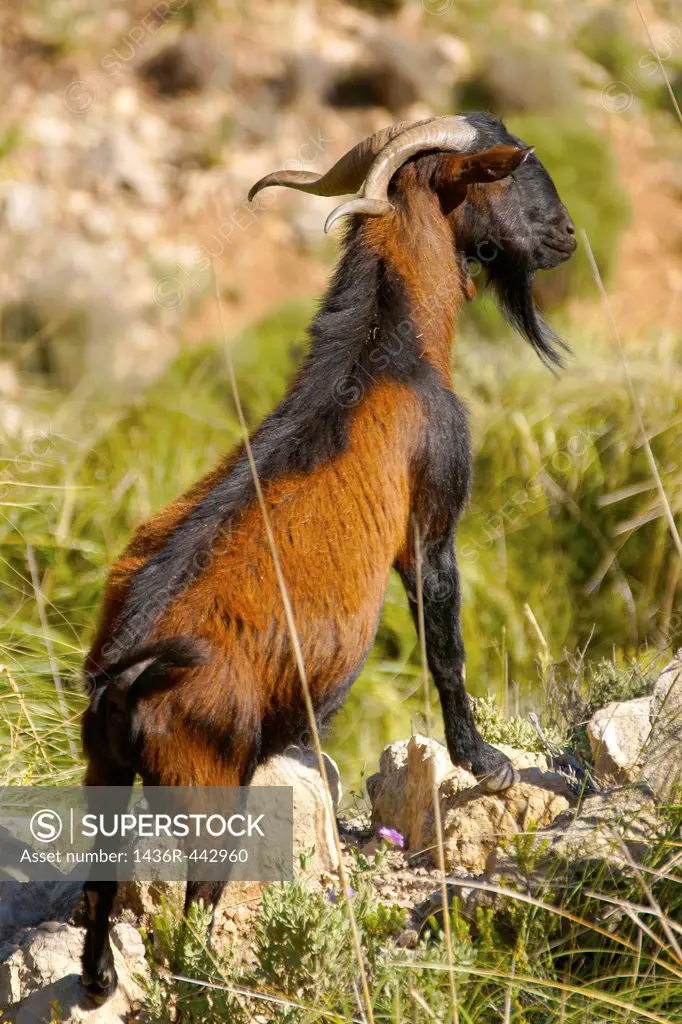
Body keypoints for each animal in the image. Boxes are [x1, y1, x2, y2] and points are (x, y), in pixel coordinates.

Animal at [80, 112, 577, 999]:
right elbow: (445, 644)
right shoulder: (432, 519)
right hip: (207, 787)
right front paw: (486, 763)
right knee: (194, 914)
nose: (566, 234)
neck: (385, 347)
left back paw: (100, 981)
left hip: (100, 772)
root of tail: (127, 672)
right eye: (513, 168)